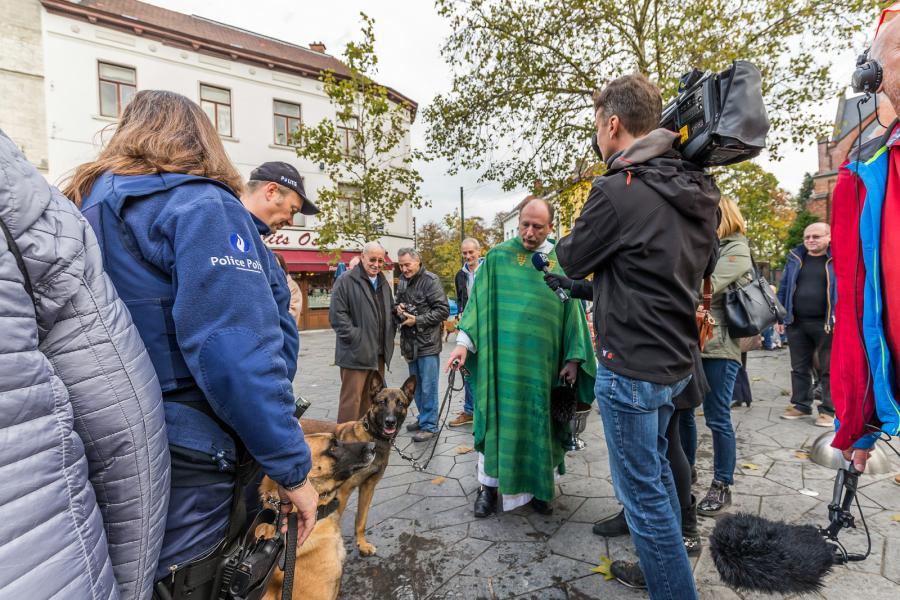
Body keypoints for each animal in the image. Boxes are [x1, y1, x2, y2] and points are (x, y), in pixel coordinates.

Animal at [300, 372, 416, 556]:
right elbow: (334, 525)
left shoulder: (368, 487)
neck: (373, 437)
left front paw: (362, 544)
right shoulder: (343, 493)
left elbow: (361, 520)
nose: (390, 422)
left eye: (400, 404)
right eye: (381, 402)